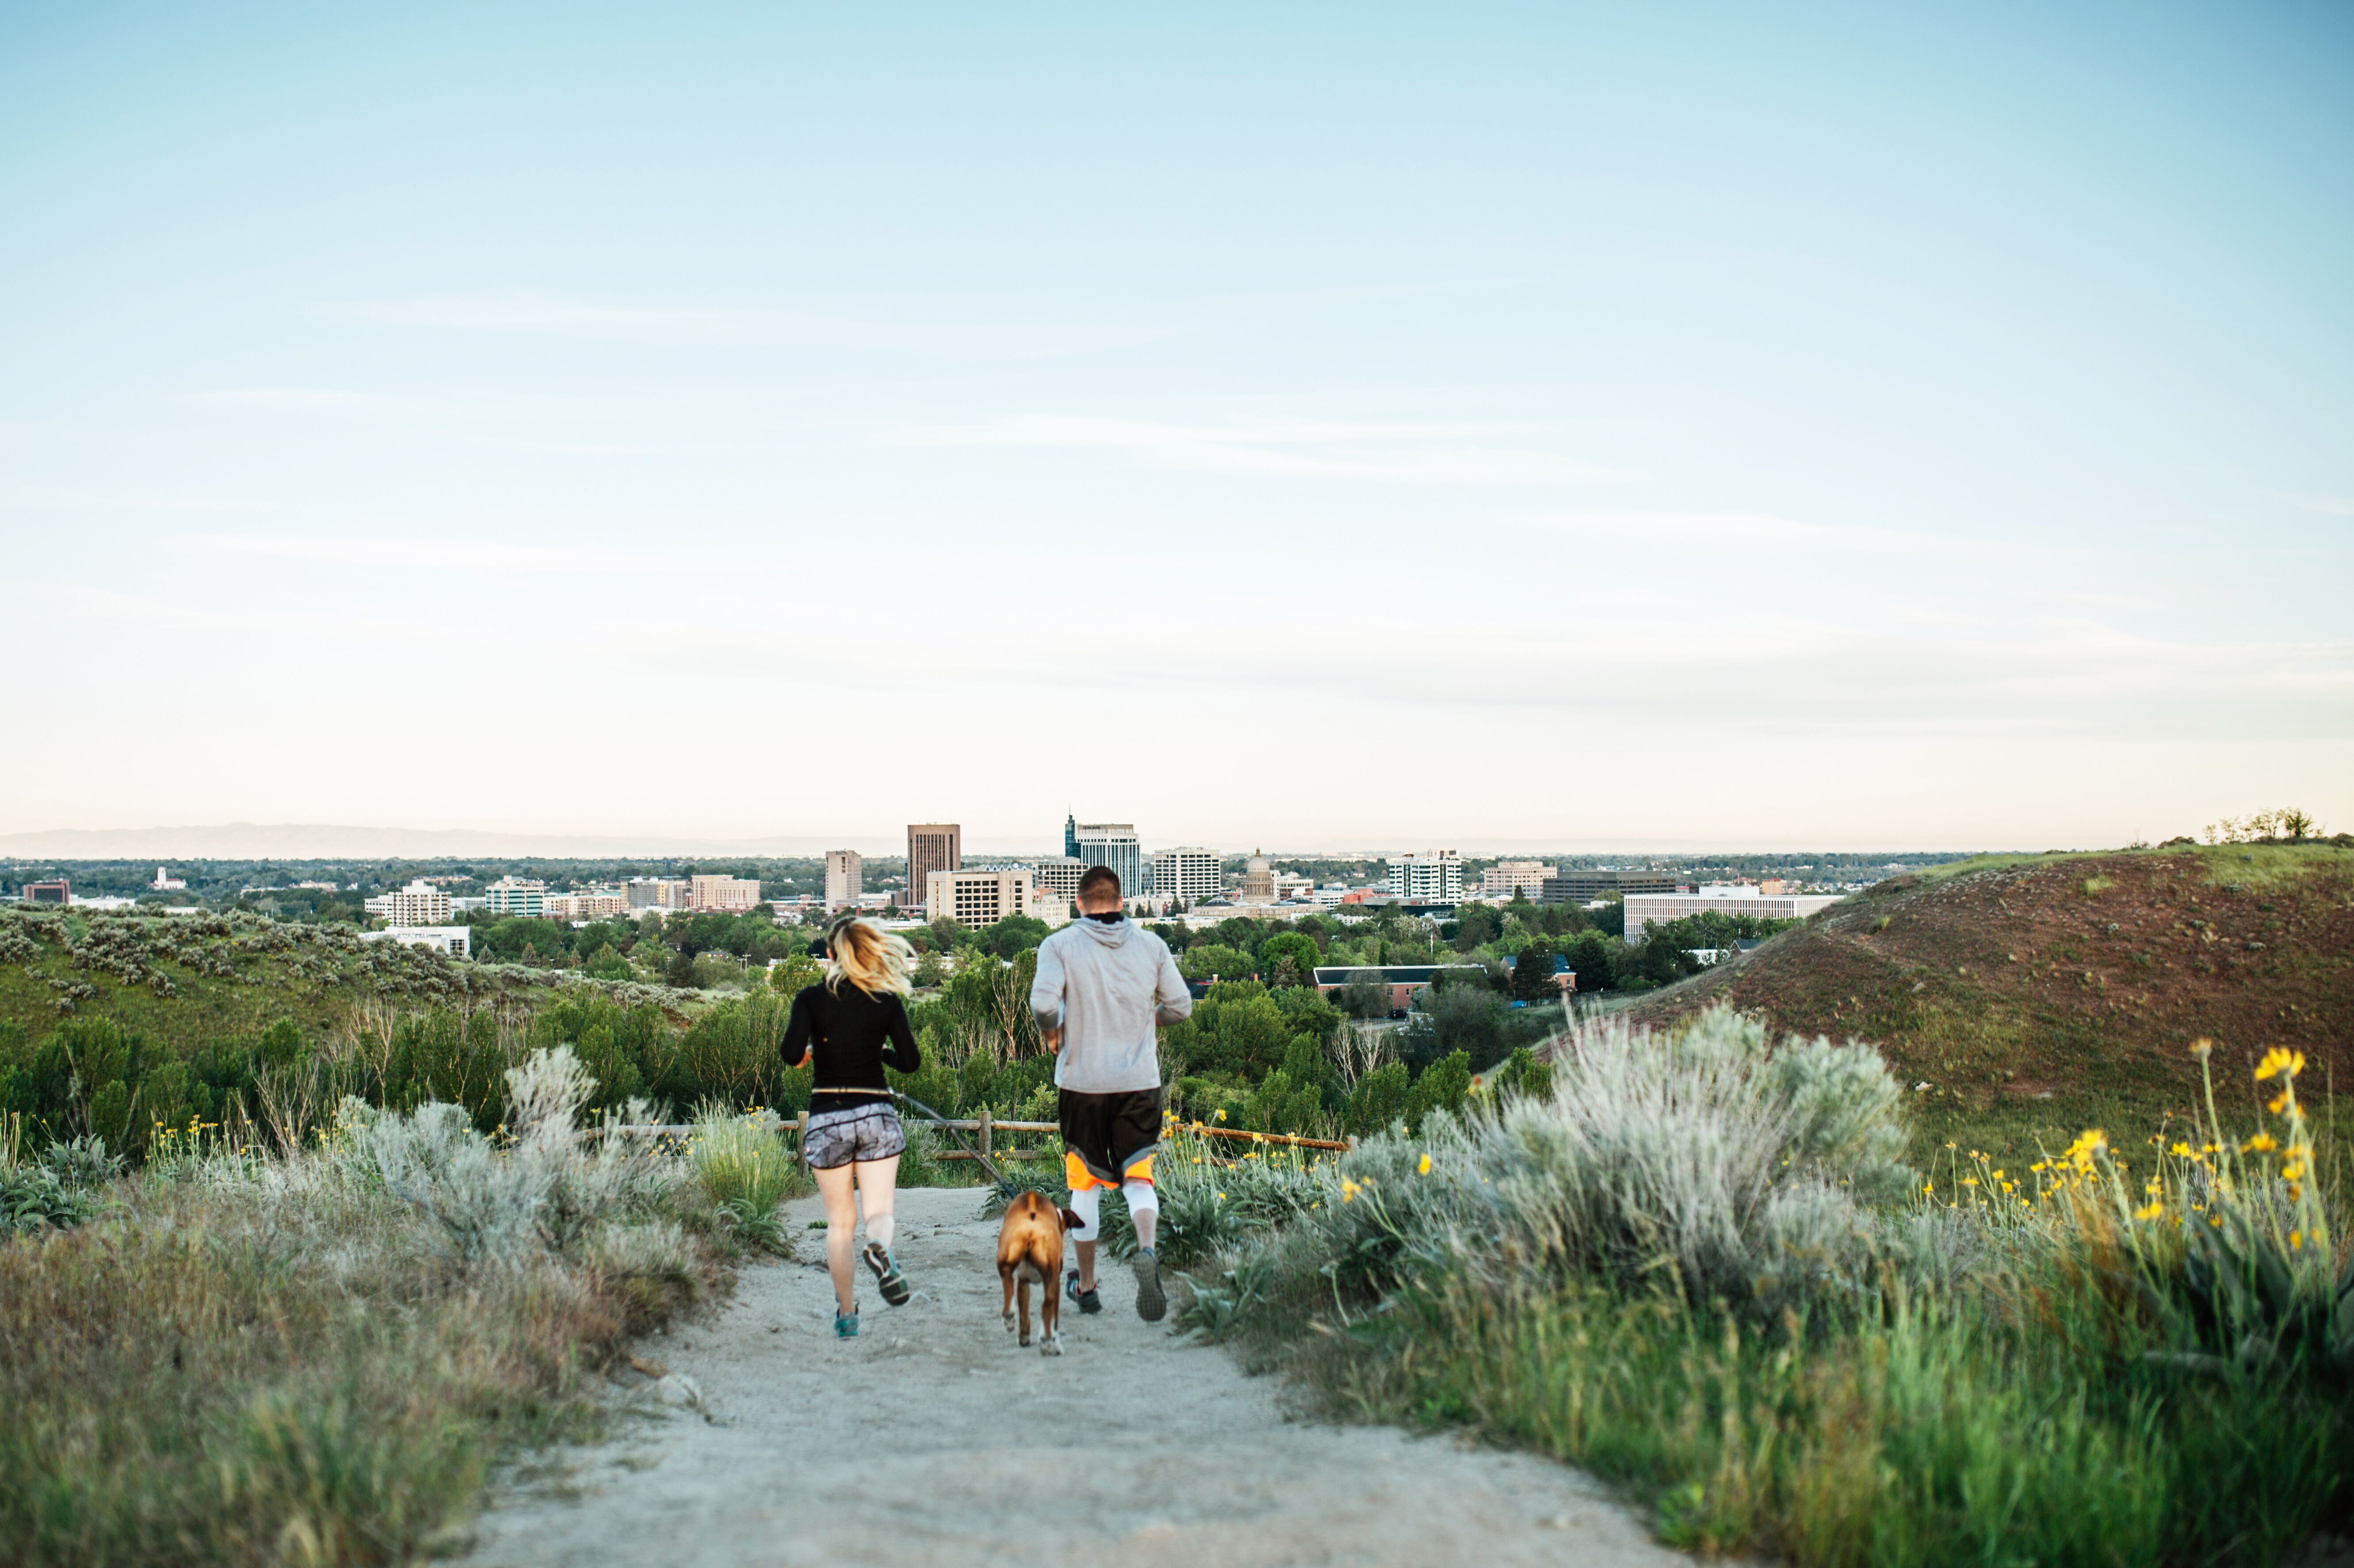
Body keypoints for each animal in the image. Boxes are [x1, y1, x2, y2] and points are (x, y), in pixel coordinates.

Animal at [993, 1186, 1083, 1346]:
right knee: (1047, 1305)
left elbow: (1024, 1312)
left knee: (1007, 1279)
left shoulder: (1023, 1281)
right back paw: (1050, 1342)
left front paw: (1024, 1336)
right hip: (1051, 1275)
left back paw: (1009, 1316)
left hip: (1006, 1255)